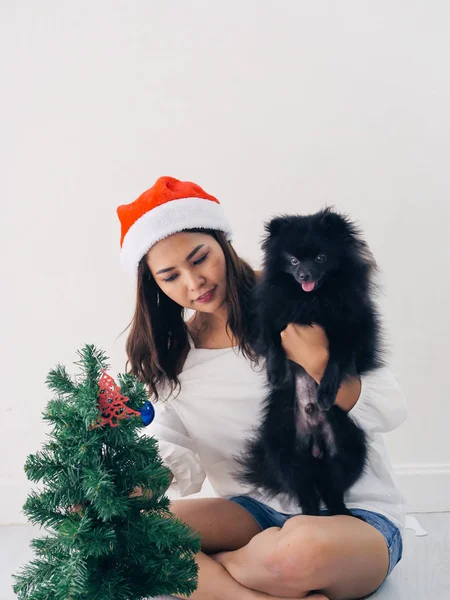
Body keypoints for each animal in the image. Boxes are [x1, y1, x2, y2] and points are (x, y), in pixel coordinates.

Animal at [236, 209, 384, 516]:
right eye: (293, 260)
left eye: (320, 258)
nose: (303, 274)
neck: (312, 300)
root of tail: (315, 450)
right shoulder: (272, 313)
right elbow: (272, 340)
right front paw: (275, 373)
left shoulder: (349, 328)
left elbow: (335, 360)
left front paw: (326, 391)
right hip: (283, 449)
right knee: (305, 493)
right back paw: (313, 514)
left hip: (349, 448)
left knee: (333, 490)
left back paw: (342, 513)